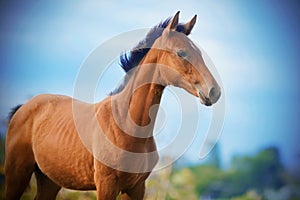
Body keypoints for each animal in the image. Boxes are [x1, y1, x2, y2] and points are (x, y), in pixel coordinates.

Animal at [4, 11, 220, 199]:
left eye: (199, 53)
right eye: (181, 53)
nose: (214, 91)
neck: (126, 124)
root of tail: (22, 108)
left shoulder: (136, 188)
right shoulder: (106, 185)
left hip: (50, 181)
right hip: (17, 175)